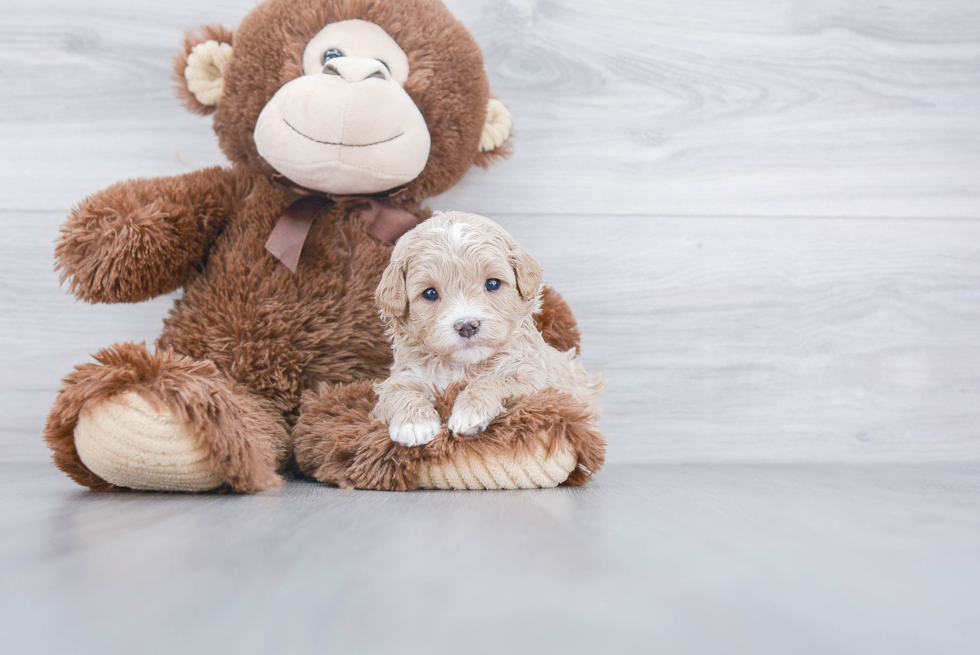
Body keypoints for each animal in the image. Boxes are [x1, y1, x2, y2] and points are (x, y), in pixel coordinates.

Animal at [374, 210, 604, 446]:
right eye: (430, 293)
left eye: (492, 283)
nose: (467, 325)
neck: (463, 367)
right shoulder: (404, 376)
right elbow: (399, 392)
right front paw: (413, 424)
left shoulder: (531, 376)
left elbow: (494, 380)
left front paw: (469, 412)